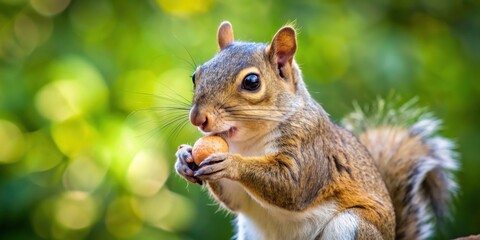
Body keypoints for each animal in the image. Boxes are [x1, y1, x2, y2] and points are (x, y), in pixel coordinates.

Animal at [173, 21, 458, 239]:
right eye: (196, 75)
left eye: (252, 82)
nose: (198, 118)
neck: (249, 143)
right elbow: (236, 199)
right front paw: (184, 159)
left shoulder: (311, 148)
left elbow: (293, 185)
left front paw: (232, 164)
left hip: (352, 225)